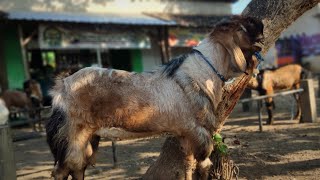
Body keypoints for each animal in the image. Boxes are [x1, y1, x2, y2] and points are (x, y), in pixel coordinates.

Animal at [45, 15, 264, 180]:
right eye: (245, 25)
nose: (262, 25)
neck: (201, 73)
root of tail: (61, 87)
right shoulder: (198, 132)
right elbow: (203, 166)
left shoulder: (185, 135)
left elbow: (187, 166)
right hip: (71, 136)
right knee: (63, 170)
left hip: (89, 138)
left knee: (78, 168)